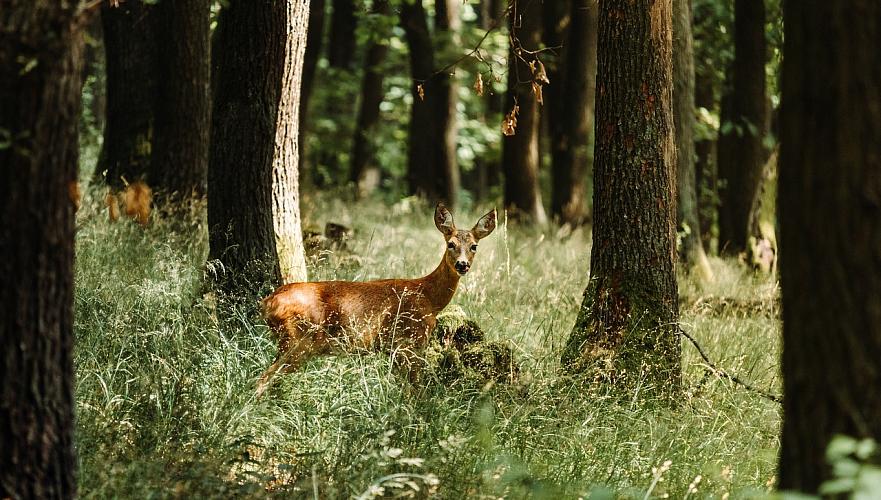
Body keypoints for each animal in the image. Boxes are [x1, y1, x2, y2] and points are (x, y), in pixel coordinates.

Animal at [254, 202, 498, 394]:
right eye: (451, 244)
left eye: (474, 246)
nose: (462, 264)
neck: (429, 297)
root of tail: (267, 303)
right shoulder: (407, 343)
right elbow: (415, 391)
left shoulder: (395, 350)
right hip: (298, 340)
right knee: (264, 378)